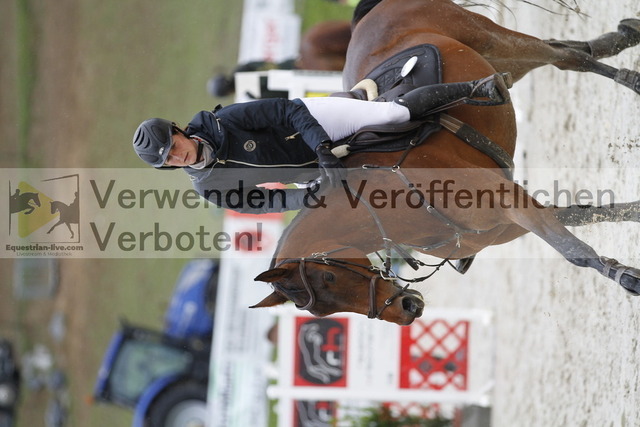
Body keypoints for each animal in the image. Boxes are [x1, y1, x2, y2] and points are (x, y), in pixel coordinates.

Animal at [251, 0, 640, 325]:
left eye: (330, 277)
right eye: (323, 310)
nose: (408, 310)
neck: (400, 204)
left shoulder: (512, 203)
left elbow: (574, 250)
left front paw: (627, 277)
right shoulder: (507, 224)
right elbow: (588, 214)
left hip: (492, 39)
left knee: (565, 57)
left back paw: (628, 73)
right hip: (505, 62)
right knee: (567, 49)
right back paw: (622, 37)